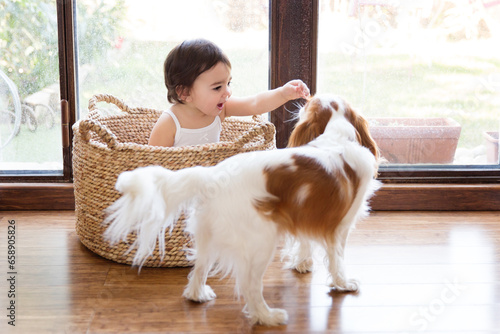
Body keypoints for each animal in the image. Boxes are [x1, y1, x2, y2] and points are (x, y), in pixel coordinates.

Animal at [103, 94, 380, 326]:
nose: (302, 101)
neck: (337, 135)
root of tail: (212, 176)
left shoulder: (306, 211)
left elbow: (305, 240)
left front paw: (303, 264)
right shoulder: (341, 225)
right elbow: (337, 258)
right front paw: (343, 284)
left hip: (209, 237)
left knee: (199, 270)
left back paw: (198, 295)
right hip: (261, 242)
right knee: (249, 286)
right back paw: (267, 316)